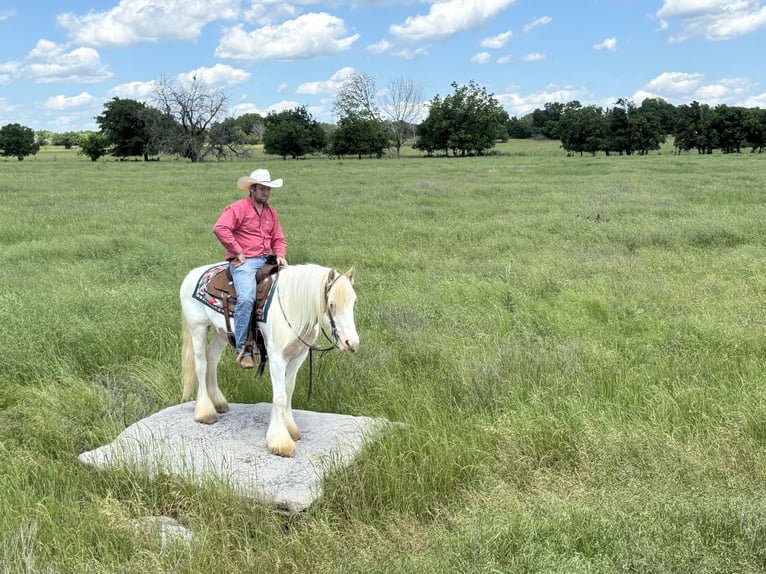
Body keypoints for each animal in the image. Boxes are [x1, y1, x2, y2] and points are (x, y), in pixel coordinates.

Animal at [180, 264, 360, 460]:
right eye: (332, 304)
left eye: (353, 303)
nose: (351, 343)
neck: (291, 307)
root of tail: (191, 274)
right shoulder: (277, 359)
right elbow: (280, 397)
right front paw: (280, 442)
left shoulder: (298, 356)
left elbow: (288, 391)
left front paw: (290, 428)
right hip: (198, 329)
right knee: (201, 365)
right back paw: (205, 412)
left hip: (222, 333)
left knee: (212, 359)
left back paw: (218, 402)